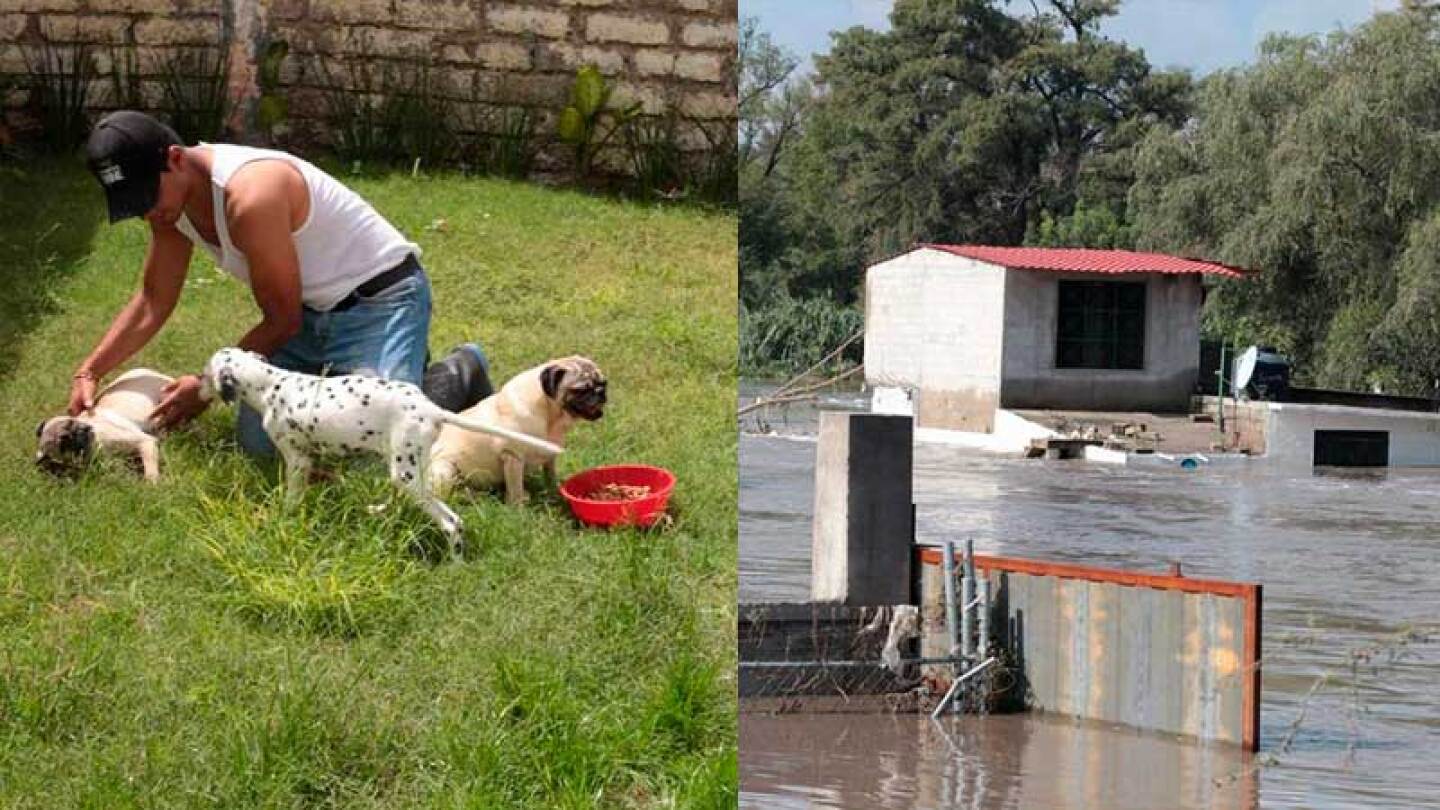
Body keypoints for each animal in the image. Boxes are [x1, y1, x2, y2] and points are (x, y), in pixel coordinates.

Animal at [200, 343, 558, 550]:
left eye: (205, 374)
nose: (197, 387)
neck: (272, 384)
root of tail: (430, 408)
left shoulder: (297, 460)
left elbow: (291, 499)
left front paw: (283, 519)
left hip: (407, 476)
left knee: (452, 522)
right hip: (410, 467)